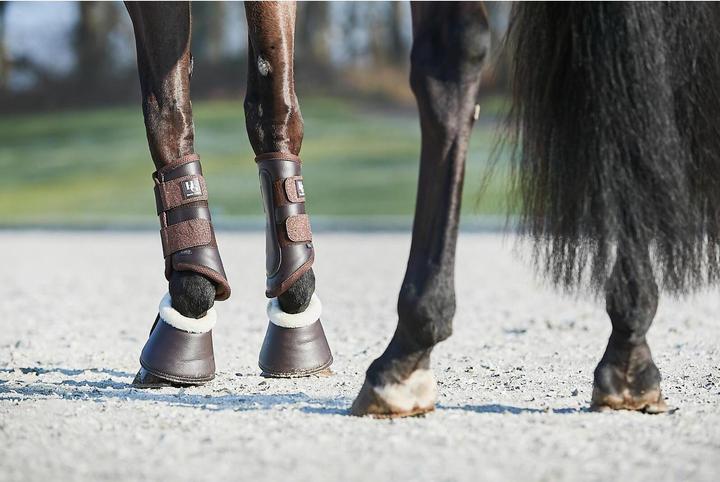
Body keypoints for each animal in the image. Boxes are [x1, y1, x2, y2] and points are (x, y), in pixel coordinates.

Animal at [124, 1, 720, 418]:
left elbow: (167, 110)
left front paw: (189, 304)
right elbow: (271, 102)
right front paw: (290, 307)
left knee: (449, 60)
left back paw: (405, 354)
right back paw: (630, 349)